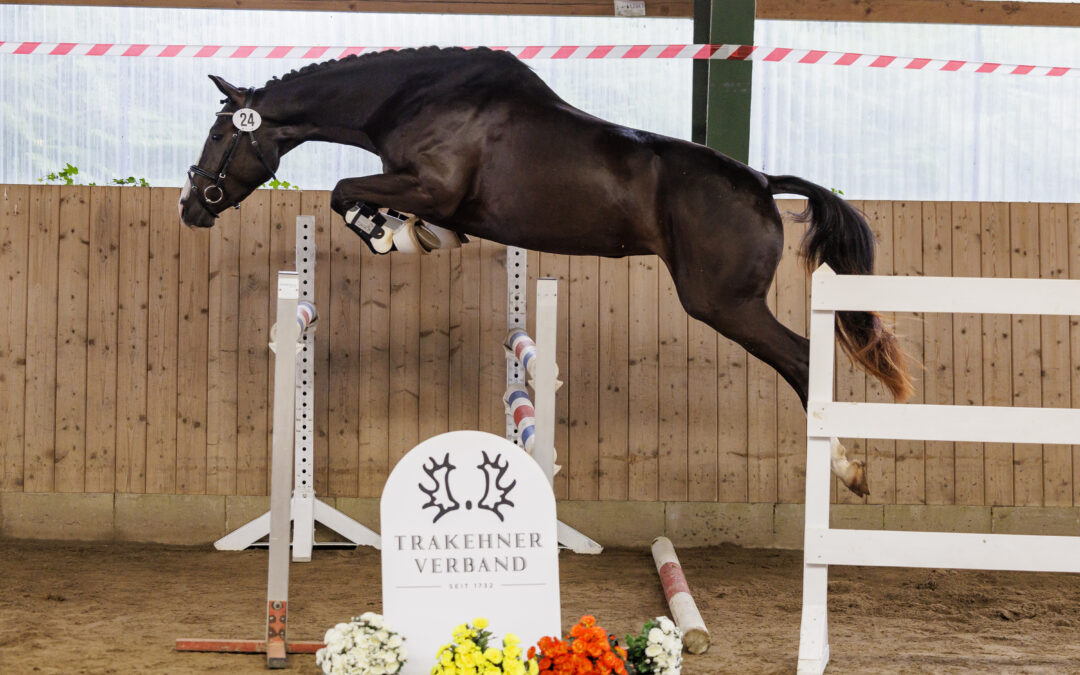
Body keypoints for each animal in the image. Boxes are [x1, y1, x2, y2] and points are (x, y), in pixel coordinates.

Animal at [177, 44, 911, 492]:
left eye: (217, 135)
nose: (190, 206)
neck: (411, 98)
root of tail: (761, 182)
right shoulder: (434, 195)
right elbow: (393, 209)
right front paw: (417, 237)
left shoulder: (430, 185)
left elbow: (344, 193)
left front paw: (393, 236)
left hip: (724, 303)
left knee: (803, 359)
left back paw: (846, 469)